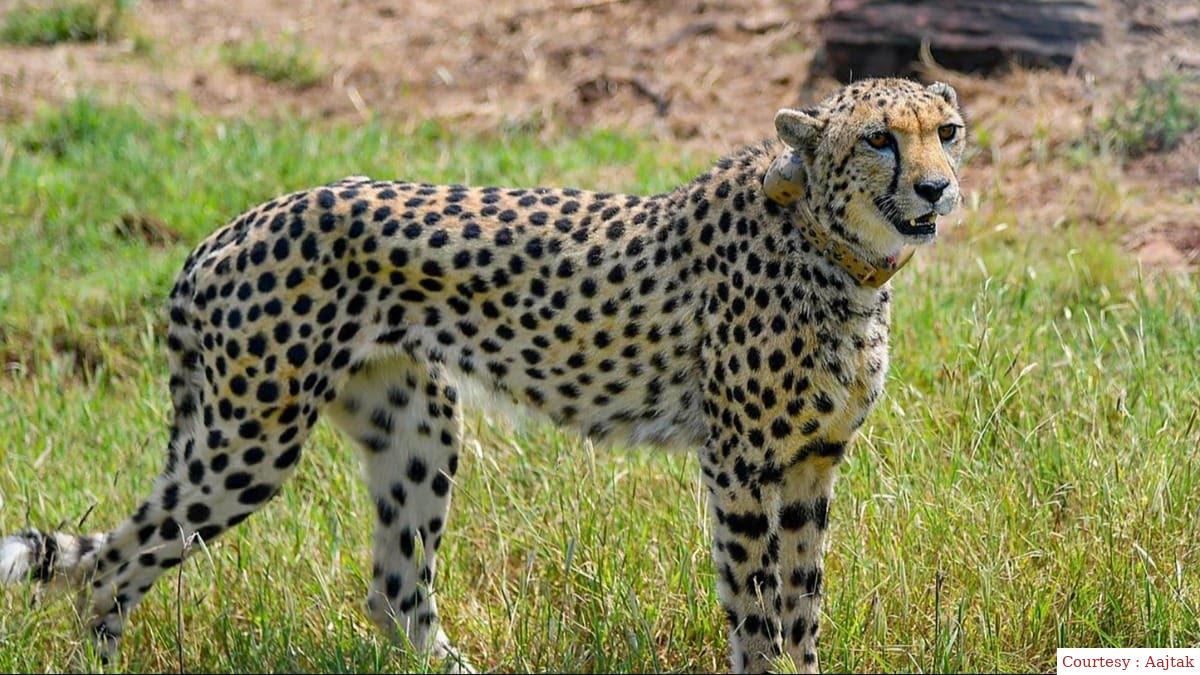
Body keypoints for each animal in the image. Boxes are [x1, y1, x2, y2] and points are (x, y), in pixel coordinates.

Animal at [1, 77, 965, 673]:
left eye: (947, 132)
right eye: (880, 139)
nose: (936, 188)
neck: (837, 251)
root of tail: (230, 228)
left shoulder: (810, 465)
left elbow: (803, 603)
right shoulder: (739, 466)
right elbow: (756, 609)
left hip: (415, 423)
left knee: (395, 592)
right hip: (250, 440)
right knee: (110, 566)